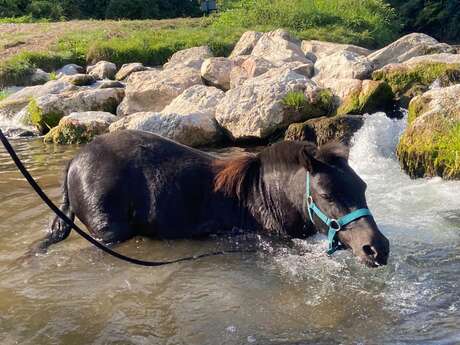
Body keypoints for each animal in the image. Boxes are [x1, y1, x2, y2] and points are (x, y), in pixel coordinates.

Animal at [32, 129, 390, 266]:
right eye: (327, 194)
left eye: (363, 188)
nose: (378, 249)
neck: (264, 193)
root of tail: (74, 161)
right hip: (110, 234)